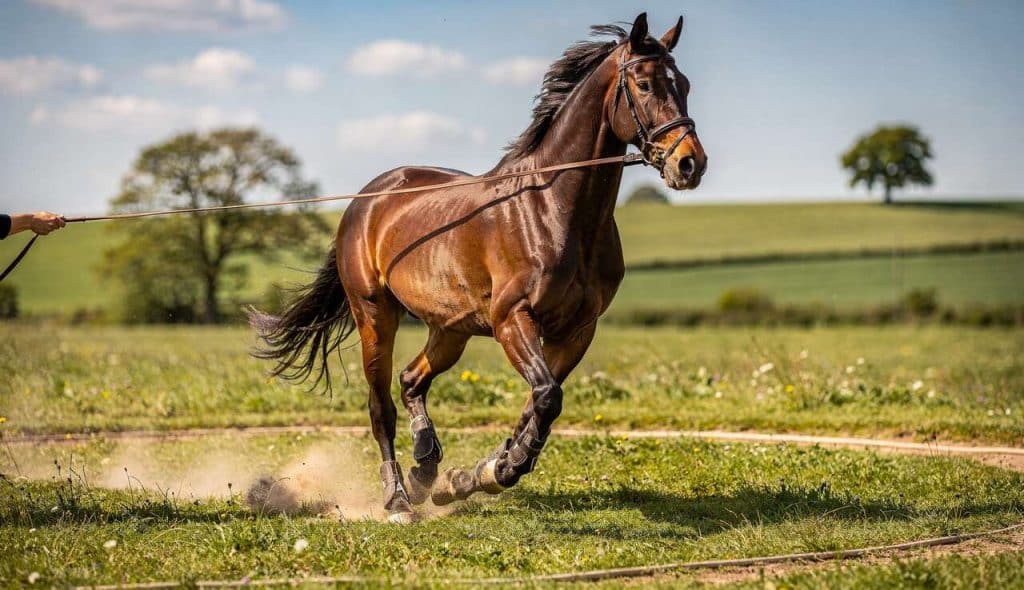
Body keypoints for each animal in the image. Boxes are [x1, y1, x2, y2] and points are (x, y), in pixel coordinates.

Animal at [249, 13, 707, 523]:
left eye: (684, 84)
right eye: (644, 84)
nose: (690, 163)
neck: (552, 210)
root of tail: (365, 200)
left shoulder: (577, 330)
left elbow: (537, 404)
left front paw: (471, 477)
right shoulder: (512, 319)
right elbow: (546, 396)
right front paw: (501, 469)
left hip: (452, 329)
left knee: (412, 381)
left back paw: (426, 468)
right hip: (375, 314)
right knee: (380, 405)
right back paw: (399, 499)